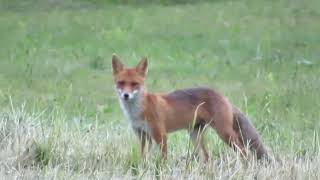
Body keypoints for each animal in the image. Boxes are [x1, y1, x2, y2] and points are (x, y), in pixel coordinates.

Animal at [111, 55, 268, 162]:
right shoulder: (143, 136)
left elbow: (163, 160)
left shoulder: (161, 135)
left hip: (225, 133)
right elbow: (144, 159)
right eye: (121, 83)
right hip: (195, 135)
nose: (126, 95)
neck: (137, 111)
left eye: (134, 84)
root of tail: (222, 96)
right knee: (207, 157)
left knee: (245, 153)